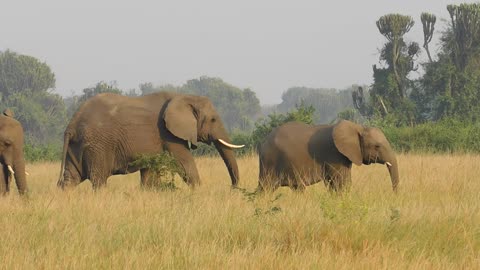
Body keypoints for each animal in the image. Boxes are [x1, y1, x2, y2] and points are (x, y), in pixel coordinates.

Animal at [56, 92, 244, 190]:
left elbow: (149, 174)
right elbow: (185, 163)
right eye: (213, 120)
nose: (233, 188)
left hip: (78, 146)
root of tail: (71, 125)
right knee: (99, 180)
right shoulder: (168, 134)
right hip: (98, 146)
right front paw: (197, 191)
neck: (183, 97)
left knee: (71, 179)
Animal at [256, 119, 400, 192]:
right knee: (266, 188)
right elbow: (342, 182)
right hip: (271, 161)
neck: (358, 127)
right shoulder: (334, 155)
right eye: (377, 146)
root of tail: (263, 143)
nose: (393, 194)